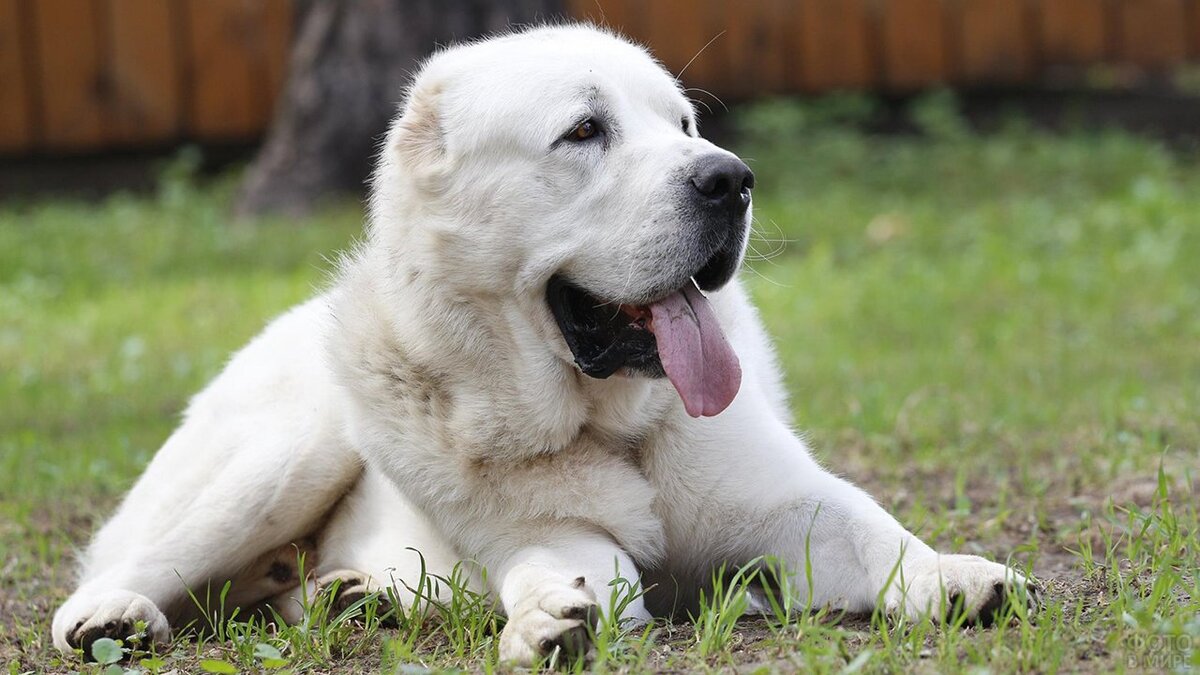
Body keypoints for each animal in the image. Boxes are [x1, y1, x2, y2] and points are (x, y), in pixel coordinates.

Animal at [51, 24, 1036, 662]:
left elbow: (872, 528)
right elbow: (577, 574)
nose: (729, 178)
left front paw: (955, 576)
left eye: (684, 126)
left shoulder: (792, 506)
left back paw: (352, 597)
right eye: (585, 131)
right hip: (289, 455)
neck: (610, 426)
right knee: (132, 569)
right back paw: (114, 620)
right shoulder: (557, 538)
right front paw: (552, 622)